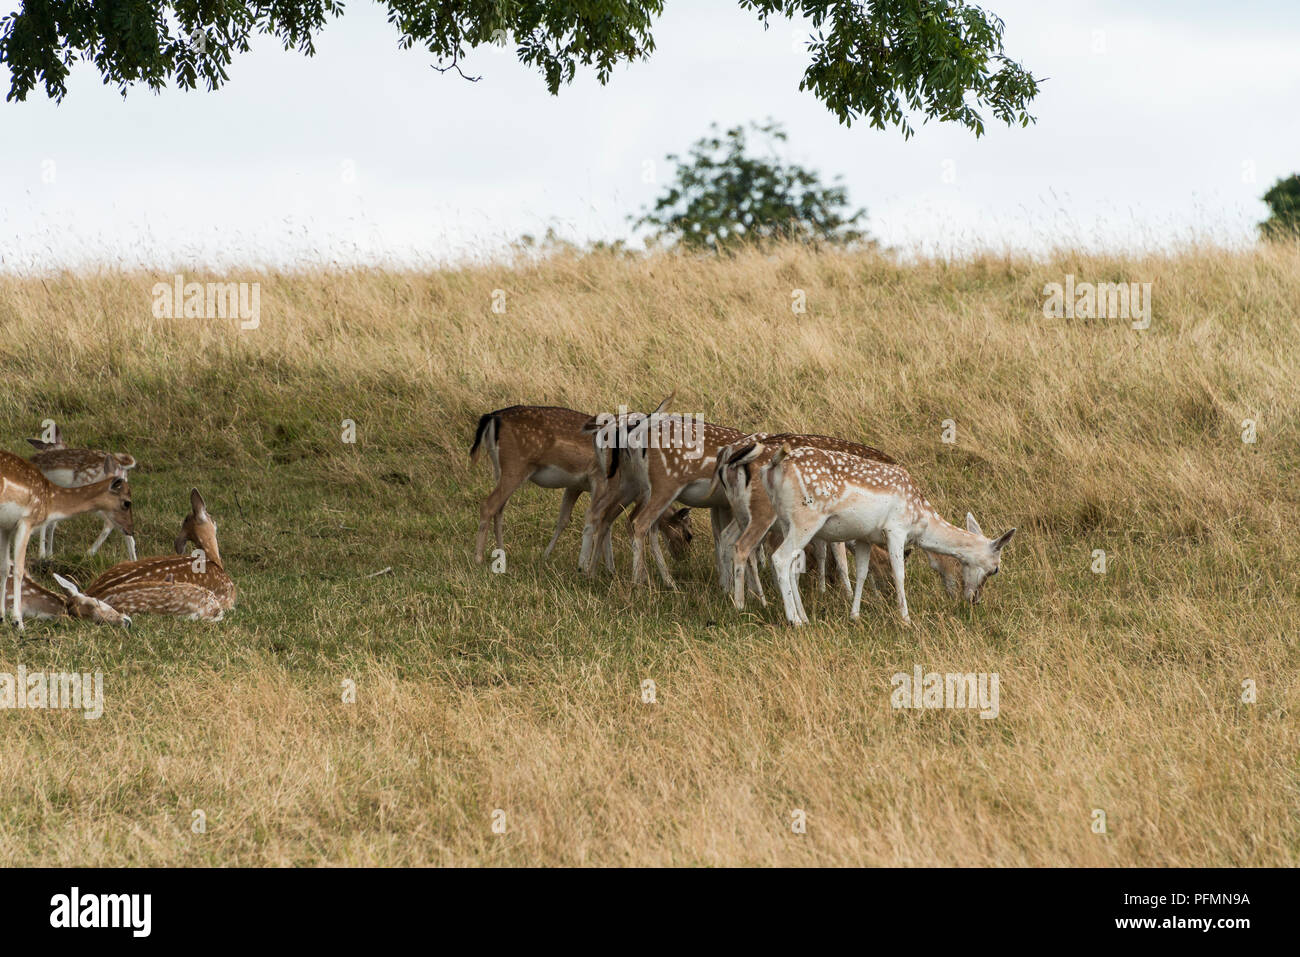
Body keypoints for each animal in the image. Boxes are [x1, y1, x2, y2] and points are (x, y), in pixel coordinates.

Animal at [26, 426, 138, 561]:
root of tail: (120, 465)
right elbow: (52, 523)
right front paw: (49, 554)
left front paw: (42, 555)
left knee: (109, 523)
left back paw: (89, 553)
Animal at [713, 435, 963, 611]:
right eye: (956, 564)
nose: (958, 596)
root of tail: (729, 459)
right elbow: (840, 559)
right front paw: (846, 594)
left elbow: (825, 554)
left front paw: (826, 589)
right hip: (762, 514)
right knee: (744, 547)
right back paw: (744, 603)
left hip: (742, 514)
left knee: (730, 539)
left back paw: (734, 592)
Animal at [760, 443, 1014, 626]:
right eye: (996, 569)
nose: (975, 600)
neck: (921, 518)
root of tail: (775, 465)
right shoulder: (896, 529)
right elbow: (899, 574)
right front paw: (906, 619)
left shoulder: (865, 537)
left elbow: (862, 572)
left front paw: (855, 616)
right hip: (806, 520)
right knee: (780, 559)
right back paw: (794, 621)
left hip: (786, 521)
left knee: (793, 565)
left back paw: (803, 617)